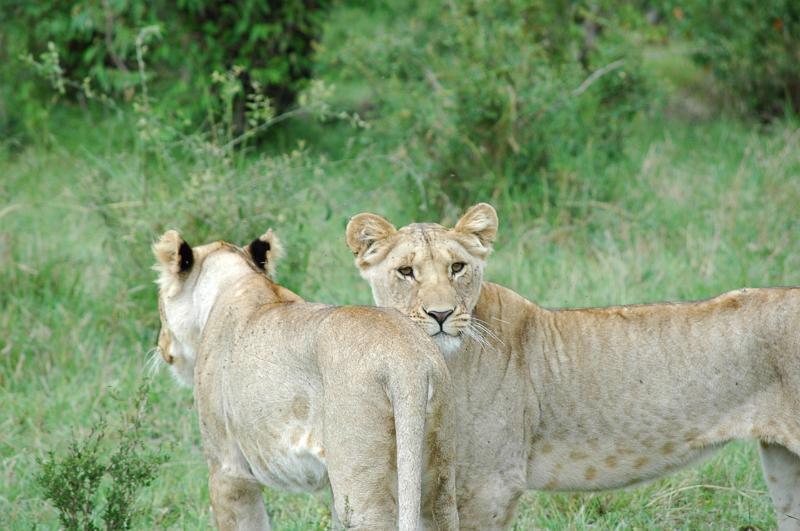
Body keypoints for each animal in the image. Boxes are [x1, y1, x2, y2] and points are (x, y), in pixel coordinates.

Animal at [153, 228, 459, 530]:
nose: (161, 345)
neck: (235, 278)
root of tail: (407, 359)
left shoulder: (227, 470)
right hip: (435, 479)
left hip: (362, 493)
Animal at [346, 203, 800, 530]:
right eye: (406, 272)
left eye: (457, 267)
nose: (440, 314)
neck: (440, 361)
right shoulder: (427, 486)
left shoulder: (489, 487)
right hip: (784, 466)